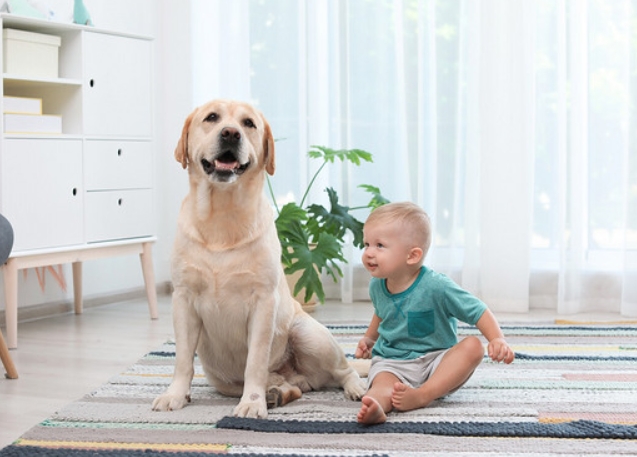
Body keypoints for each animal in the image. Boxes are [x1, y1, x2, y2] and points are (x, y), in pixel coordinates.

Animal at [151, 99, 366, 416]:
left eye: (248, 123)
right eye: (212, 118)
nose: (230, 133)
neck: (222, 216)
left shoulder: (263, 303)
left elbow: (255, 362)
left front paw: (252, 403)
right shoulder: (184, 299)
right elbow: (182, 360)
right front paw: (175, 395)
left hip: (309, 336)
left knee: (344, 370)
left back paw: (354, 388)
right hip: (221, 378)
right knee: (291, 387)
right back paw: (278, 392)